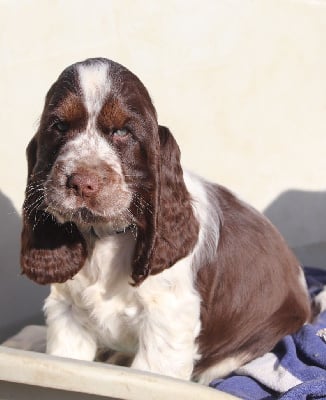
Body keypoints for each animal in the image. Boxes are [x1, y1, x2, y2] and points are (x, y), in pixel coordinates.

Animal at [21, 57, 310, 384]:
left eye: (122, 132)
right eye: (59, 126)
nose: (82, 183)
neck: (108, 236)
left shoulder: (168, 317)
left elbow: (151, 371)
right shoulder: (68, 311)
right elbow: (65, 359)